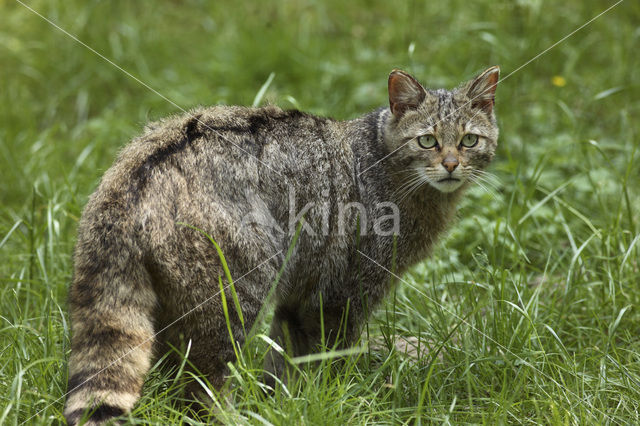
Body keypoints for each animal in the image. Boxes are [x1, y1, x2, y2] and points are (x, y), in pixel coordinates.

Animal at [62, 66, 500, 426]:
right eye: (427, 141)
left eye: (469, 140)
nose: (450, 165)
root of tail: (131, 176)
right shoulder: (342, 295)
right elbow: (328, 358)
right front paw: (330, 397)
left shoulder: (301, 293)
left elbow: (286, 359)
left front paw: (283, 402)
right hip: (233, 295)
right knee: (201, 383)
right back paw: (230, 417)